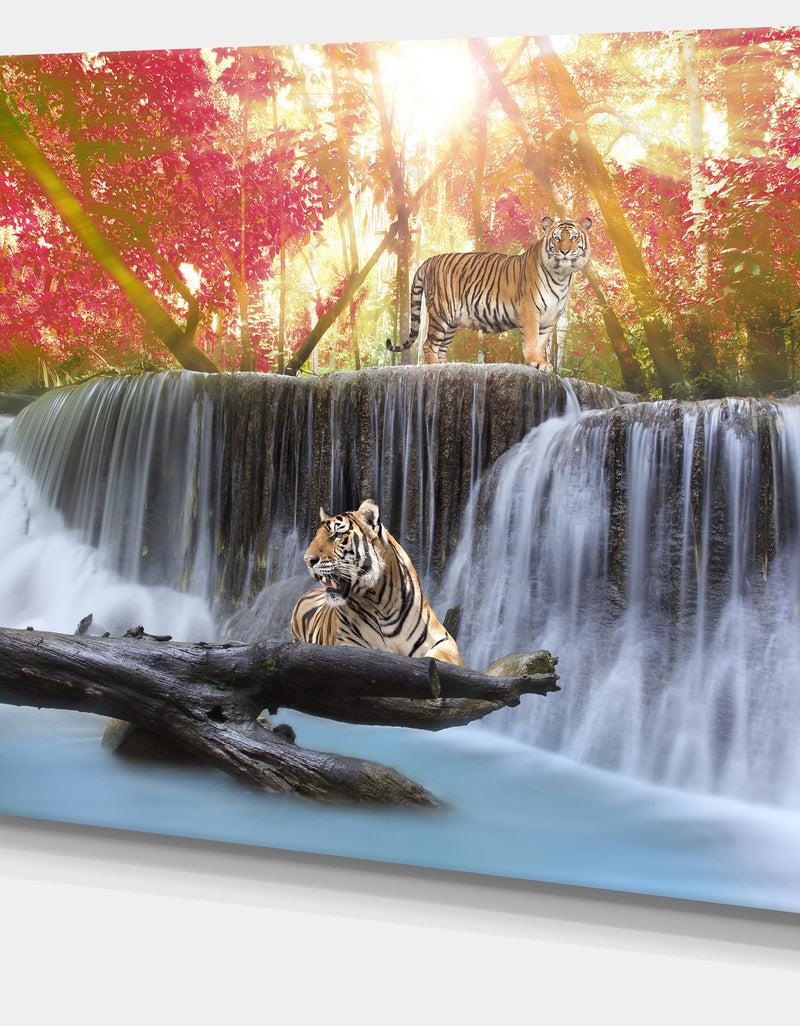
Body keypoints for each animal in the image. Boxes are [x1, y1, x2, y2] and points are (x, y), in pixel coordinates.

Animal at [291, 499, 463, 666]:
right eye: (316, 537)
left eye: (337, 535)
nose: (307, 560)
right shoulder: (347, 645)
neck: (379, 602)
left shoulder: (444, 641)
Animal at [386, 215, 592, 367]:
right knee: (429, 343)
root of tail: (429, 260)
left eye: (574, 237)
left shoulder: (550, 318)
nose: (564, 252)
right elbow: (532, 339)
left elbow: (541, 343)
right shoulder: (530, 311)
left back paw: (445, 365)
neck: (561, 276)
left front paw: (542, 362)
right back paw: (435, 367)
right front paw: (536, 362)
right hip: (441, 312)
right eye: (557, 238)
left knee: (441, 346)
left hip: (451, 321)